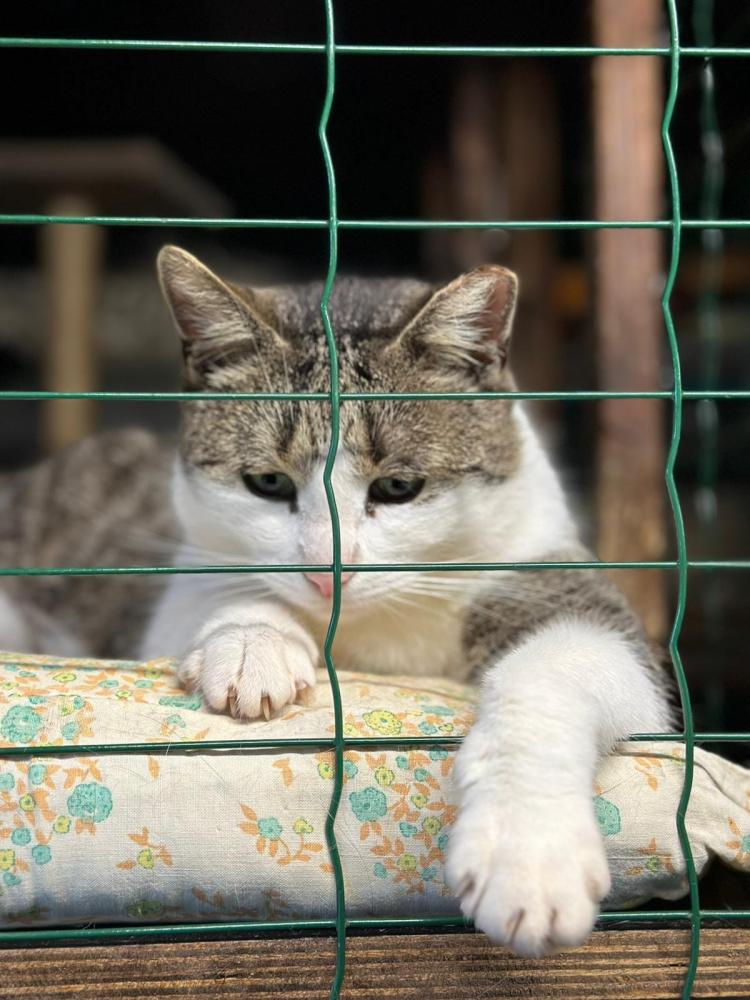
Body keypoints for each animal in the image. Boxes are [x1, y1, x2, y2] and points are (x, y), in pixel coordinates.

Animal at [0, 245, 673, 956]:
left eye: (398, 487)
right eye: (267, 483)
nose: (328, 575)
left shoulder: (551, 579)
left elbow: (559, 668)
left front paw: (528, 857)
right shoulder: (180, 583)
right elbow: (223, 597)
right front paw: (254, 645)